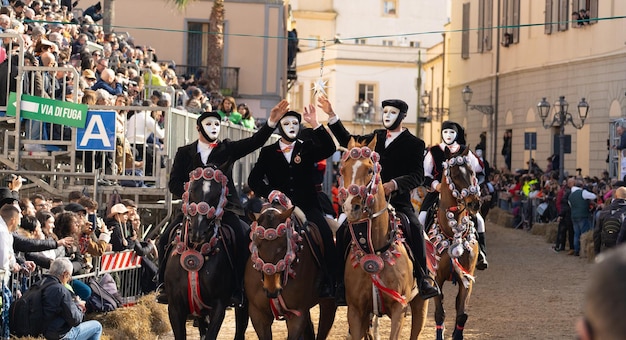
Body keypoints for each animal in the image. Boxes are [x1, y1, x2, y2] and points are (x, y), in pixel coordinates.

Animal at [163, 167, 246, 340]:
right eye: (191, 190)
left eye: (217, 194)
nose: (197, 233)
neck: (196, 250)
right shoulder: (175, 307)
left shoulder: (219, 306)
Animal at [244, 191, 336, 340]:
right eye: (257, 244)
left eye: (283, 246)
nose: (272, 290)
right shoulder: (258, 314)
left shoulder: (297, 315)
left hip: (328, 303)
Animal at [338, 137, 426, 338]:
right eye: (342, 169)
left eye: (370, 170)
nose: (351, 207)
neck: (375, 249)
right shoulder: (356, 311)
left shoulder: (399, 309)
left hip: (420, 304)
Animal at [426, 147, 480, 340]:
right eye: (455, 174)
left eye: (472, 172)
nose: (474, 203)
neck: (453, 234)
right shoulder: (436, 278)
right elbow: (439, 313)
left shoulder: (467, 277)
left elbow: (462, 314)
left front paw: (457, 335)